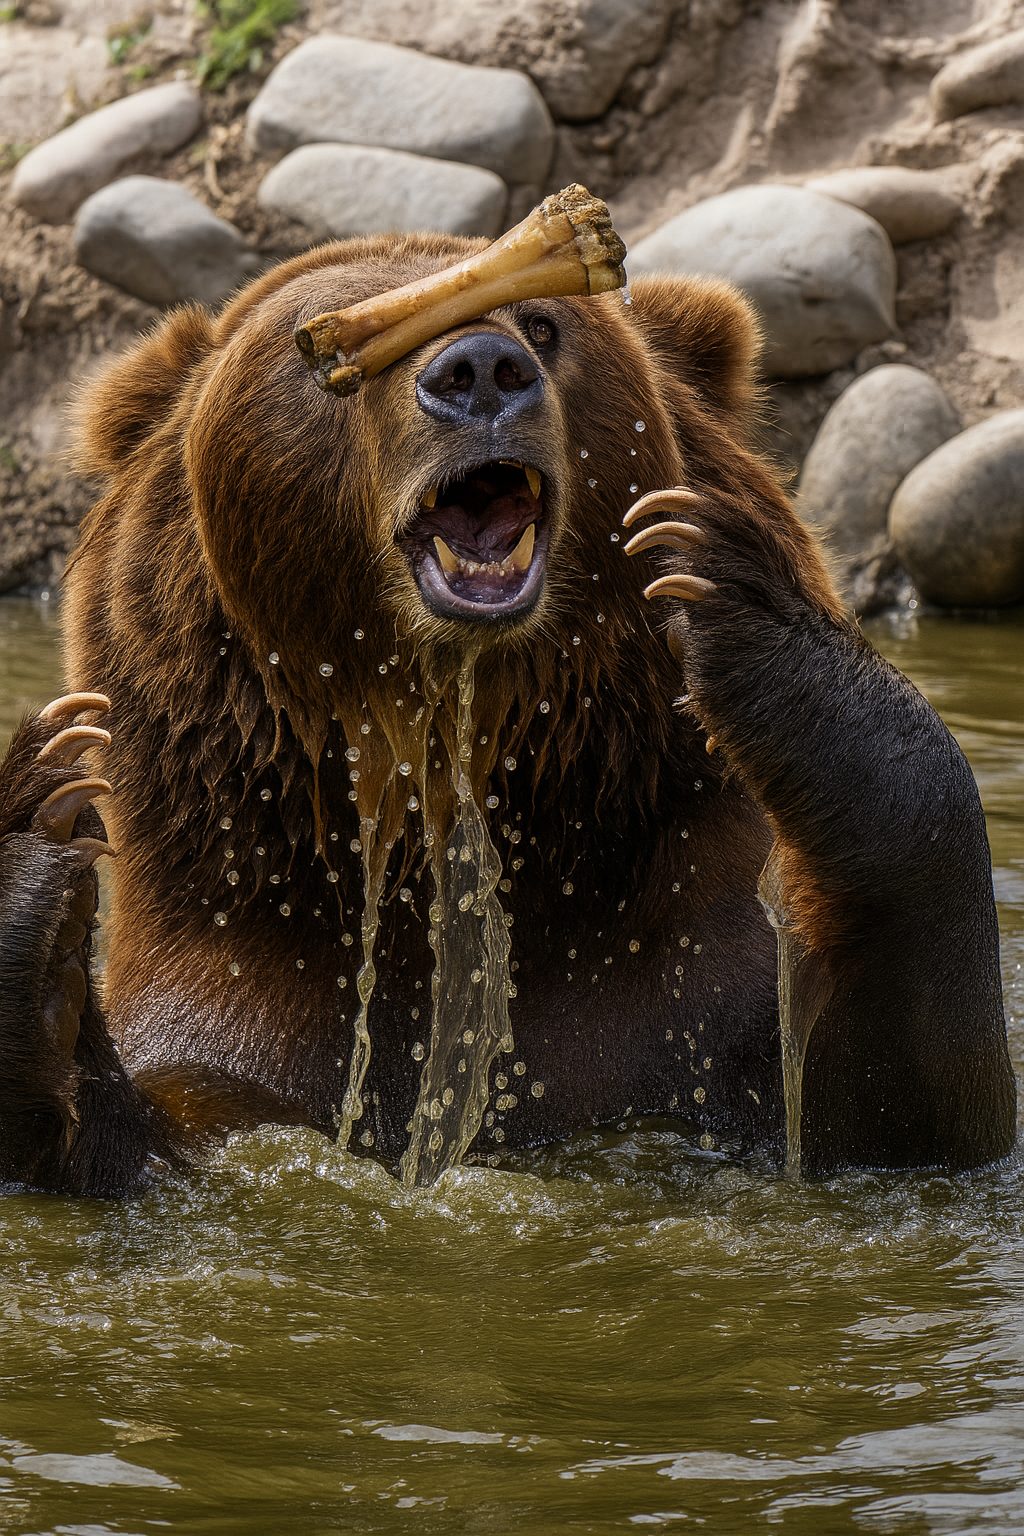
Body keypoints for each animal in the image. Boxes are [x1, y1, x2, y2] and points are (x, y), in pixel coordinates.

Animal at [0, 228, 1015, 1197]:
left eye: (542, 323)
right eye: (324, 349)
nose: (479, 369)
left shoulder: (695, 1006)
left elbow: (894, 1103)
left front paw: (727, 589)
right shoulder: (244, 1030)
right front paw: (41, 822)